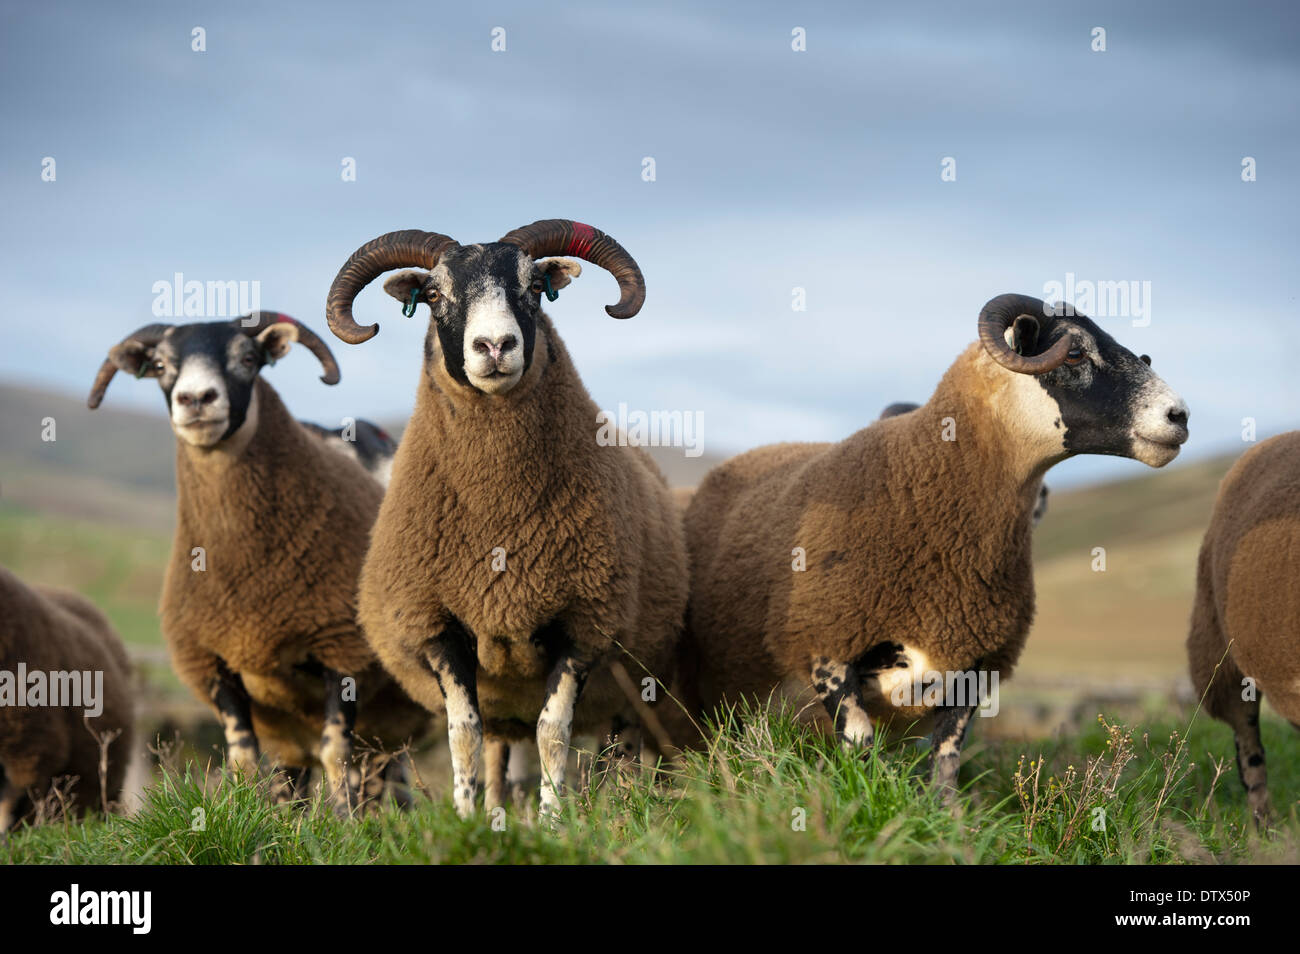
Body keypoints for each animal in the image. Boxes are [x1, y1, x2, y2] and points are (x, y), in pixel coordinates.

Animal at [87, 311, 429, 810]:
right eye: (161, 365)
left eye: (248, 359)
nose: (195, 399)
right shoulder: (216, 661)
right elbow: (243, 758)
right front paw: (244, 814)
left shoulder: (342, 648)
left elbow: (336, 752)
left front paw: (345, 822)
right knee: (308, 773)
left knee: (392, 772)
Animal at [324, 220, 689, 818]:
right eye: (434, 294)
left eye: (534, 287)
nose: (495, 346)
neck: (498, 513)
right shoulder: (438, 627)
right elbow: (463, 734)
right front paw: (466, 819)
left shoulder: (584, 623)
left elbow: (553, 733)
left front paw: (554, 820)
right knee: (497, 747)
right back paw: (496, 816)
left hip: (629, 678)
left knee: (621, 746)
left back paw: (622, 805)